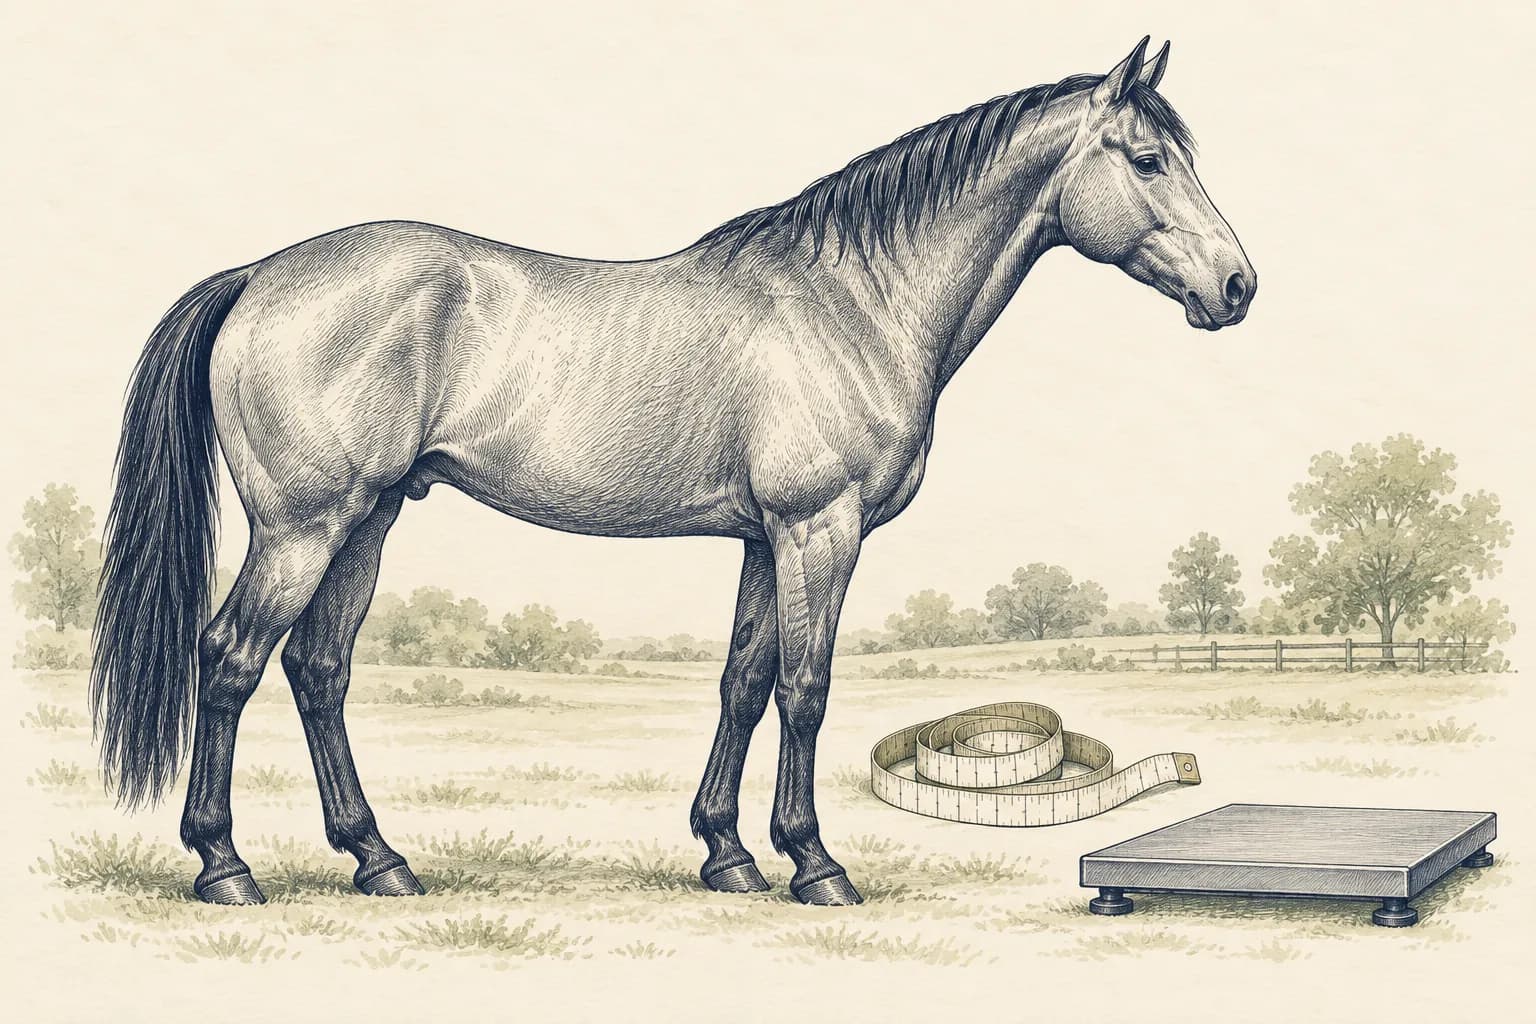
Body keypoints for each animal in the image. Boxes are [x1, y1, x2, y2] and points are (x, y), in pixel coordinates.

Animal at [91, 37, 1254, 907]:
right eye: (1146, 160)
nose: (1238, 285)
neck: (852, 302)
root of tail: (260, 277)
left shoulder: (763, 539)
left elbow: (742, 681)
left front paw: (727, 853)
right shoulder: (817, 529)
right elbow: (805, 688)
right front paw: (815, 863)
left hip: (368, 518)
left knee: (318, 669)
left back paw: (380, 860)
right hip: (305, 523)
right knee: (230, 659)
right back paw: (225, 866)